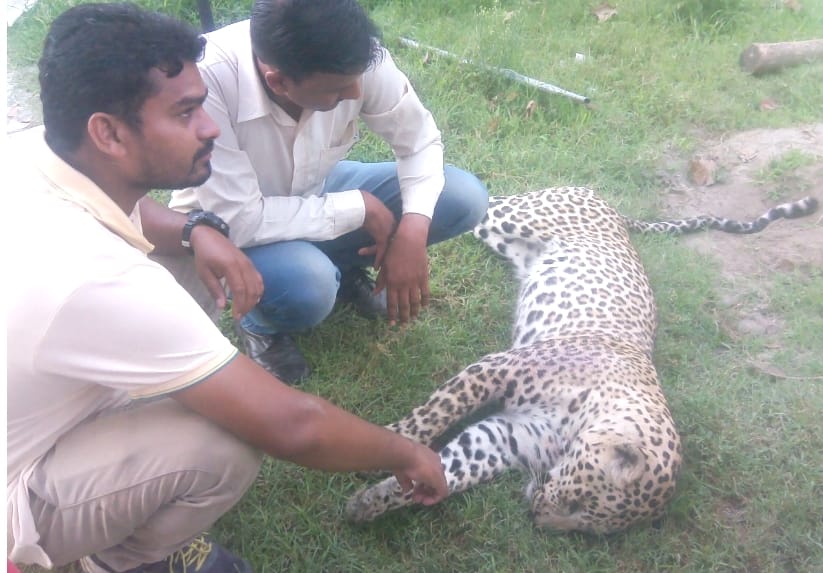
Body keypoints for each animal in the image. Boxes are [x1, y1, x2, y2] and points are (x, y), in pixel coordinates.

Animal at [346, 186, 818, 534]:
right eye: (579, 501)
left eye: (587, 527)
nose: (536, 518)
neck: (583, 421)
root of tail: (614, 209)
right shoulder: (495, 368)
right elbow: (429, 418)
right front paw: (383, 440)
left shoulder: (505, 437)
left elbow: (450, 466)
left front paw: (371, 502)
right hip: (512, 214)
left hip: (504, 239)